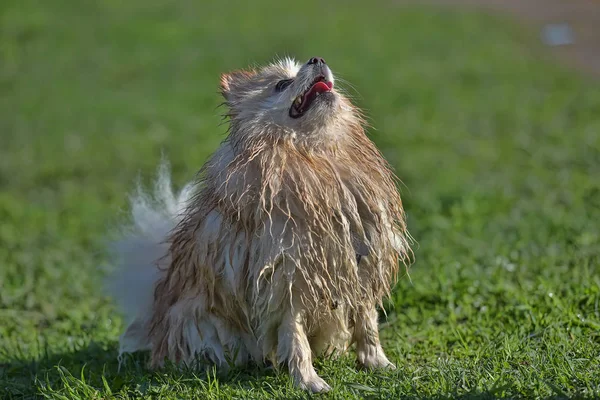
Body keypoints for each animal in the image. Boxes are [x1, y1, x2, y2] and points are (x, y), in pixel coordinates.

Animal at [105, 56, 410, 394]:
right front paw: (308, 381)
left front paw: (378, 364)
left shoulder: (362, 265)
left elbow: (368, 323)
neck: (312, 155)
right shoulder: (285, 282)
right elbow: (296, 338)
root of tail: (155, 316)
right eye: (281, 84)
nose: (317, 59)